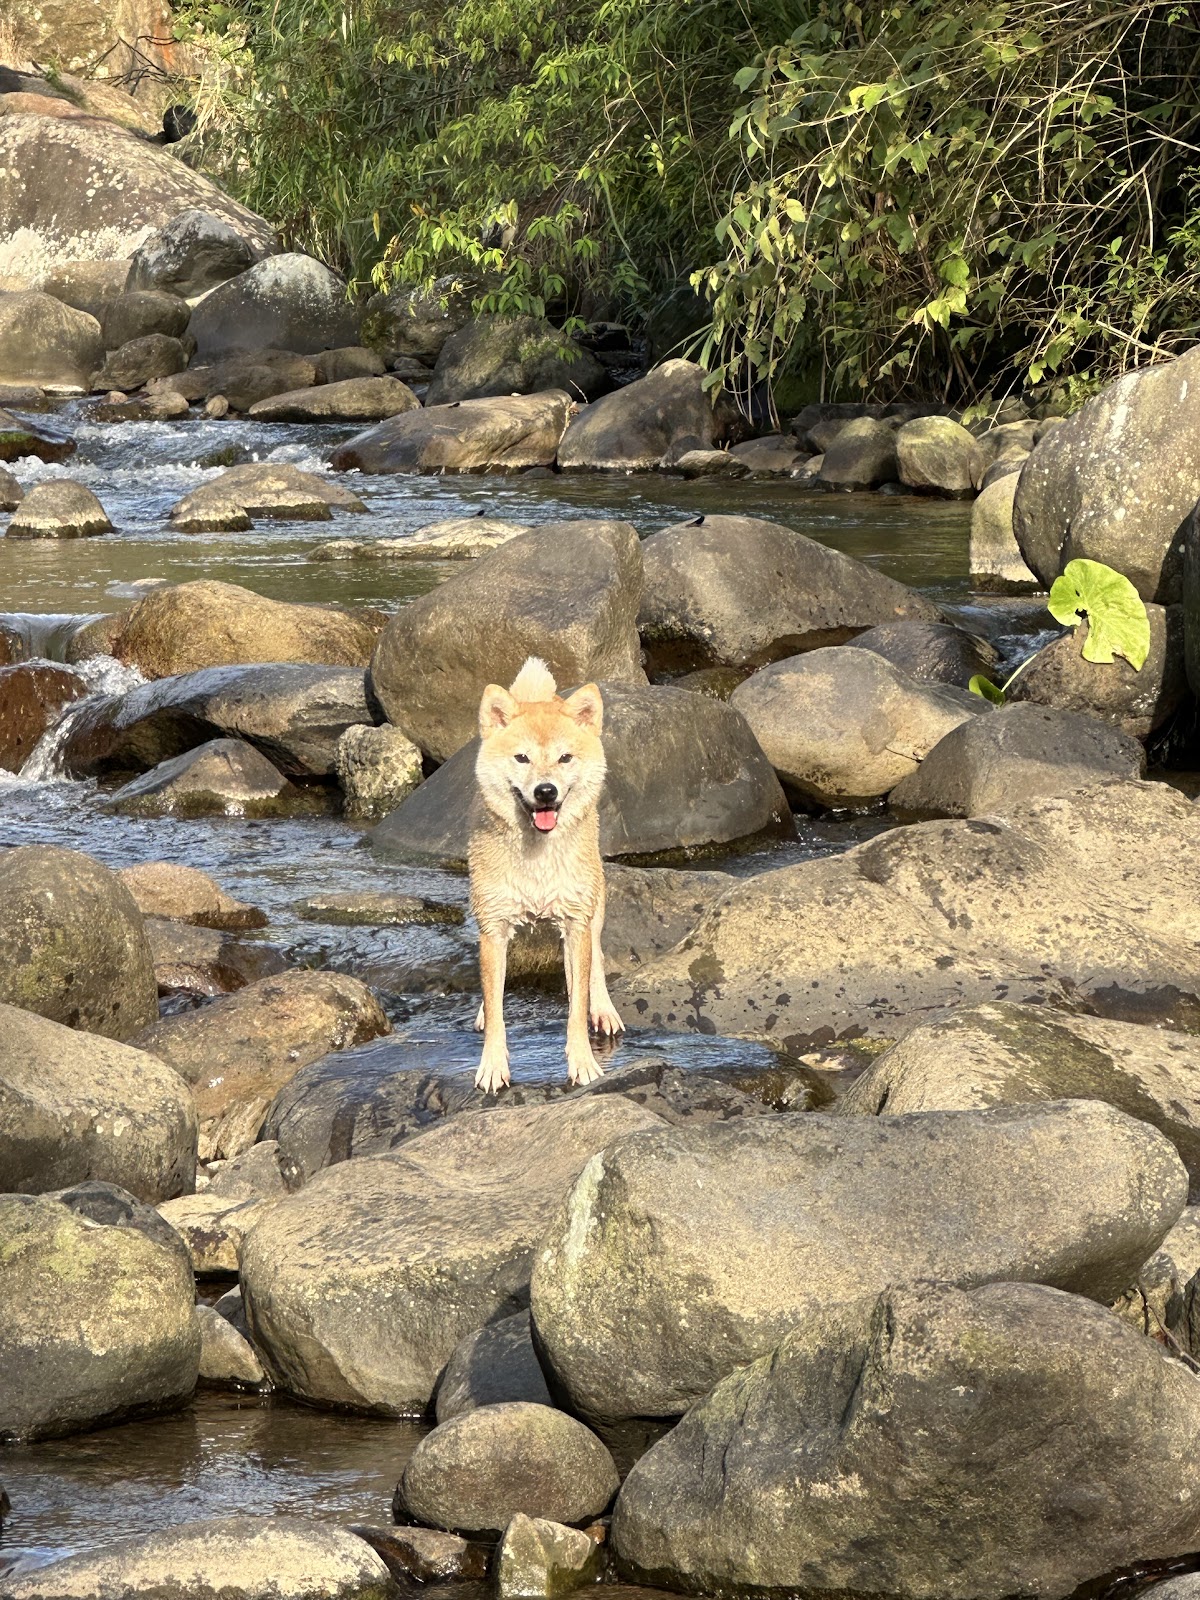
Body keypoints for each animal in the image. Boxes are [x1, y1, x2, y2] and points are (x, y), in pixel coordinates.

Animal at [469, 657, 624, 1094]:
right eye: (521, 758)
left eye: (565, 758)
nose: (545, 791)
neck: (537, 855)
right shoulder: (492, 926)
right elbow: (497, 1007)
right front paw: (492, 1066)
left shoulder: (575, 923)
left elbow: (576, 1005)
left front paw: (583, 1064)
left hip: (594, 903)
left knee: (596, 959)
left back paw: (603, 1008)